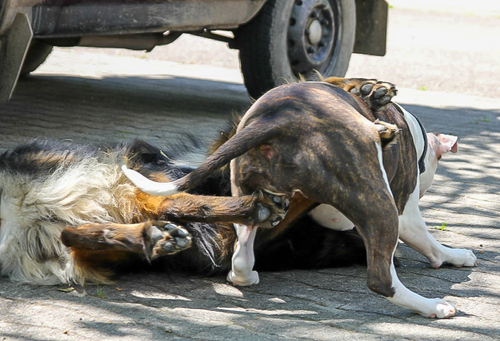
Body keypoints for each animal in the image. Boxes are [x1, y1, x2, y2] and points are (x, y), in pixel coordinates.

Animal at [125, 77, 476, 316]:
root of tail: (277, 122)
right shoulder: (404, 208)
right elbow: (427, 241)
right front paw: (455, 256)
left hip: (249, 195)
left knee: (241, 256)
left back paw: (247, 274)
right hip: (379, 206)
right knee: (380, 278)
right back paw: (431, 306)